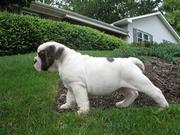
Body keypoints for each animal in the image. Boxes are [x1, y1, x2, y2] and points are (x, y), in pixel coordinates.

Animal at [33, 40, 169, 114]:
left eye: (41, 55)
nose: (34, 61)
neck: (64, 60)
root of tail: (130, 60)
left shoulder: (78, 86)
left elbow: (81, 100)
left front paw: (83, 112)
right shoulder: (71, 87)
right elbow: (70, 98)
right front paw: (66, 106)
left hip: (140, 81)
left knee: (156, 91)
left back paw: (164, 107)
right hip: (123, 86)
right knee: (133, 94)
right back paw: (123, 105)